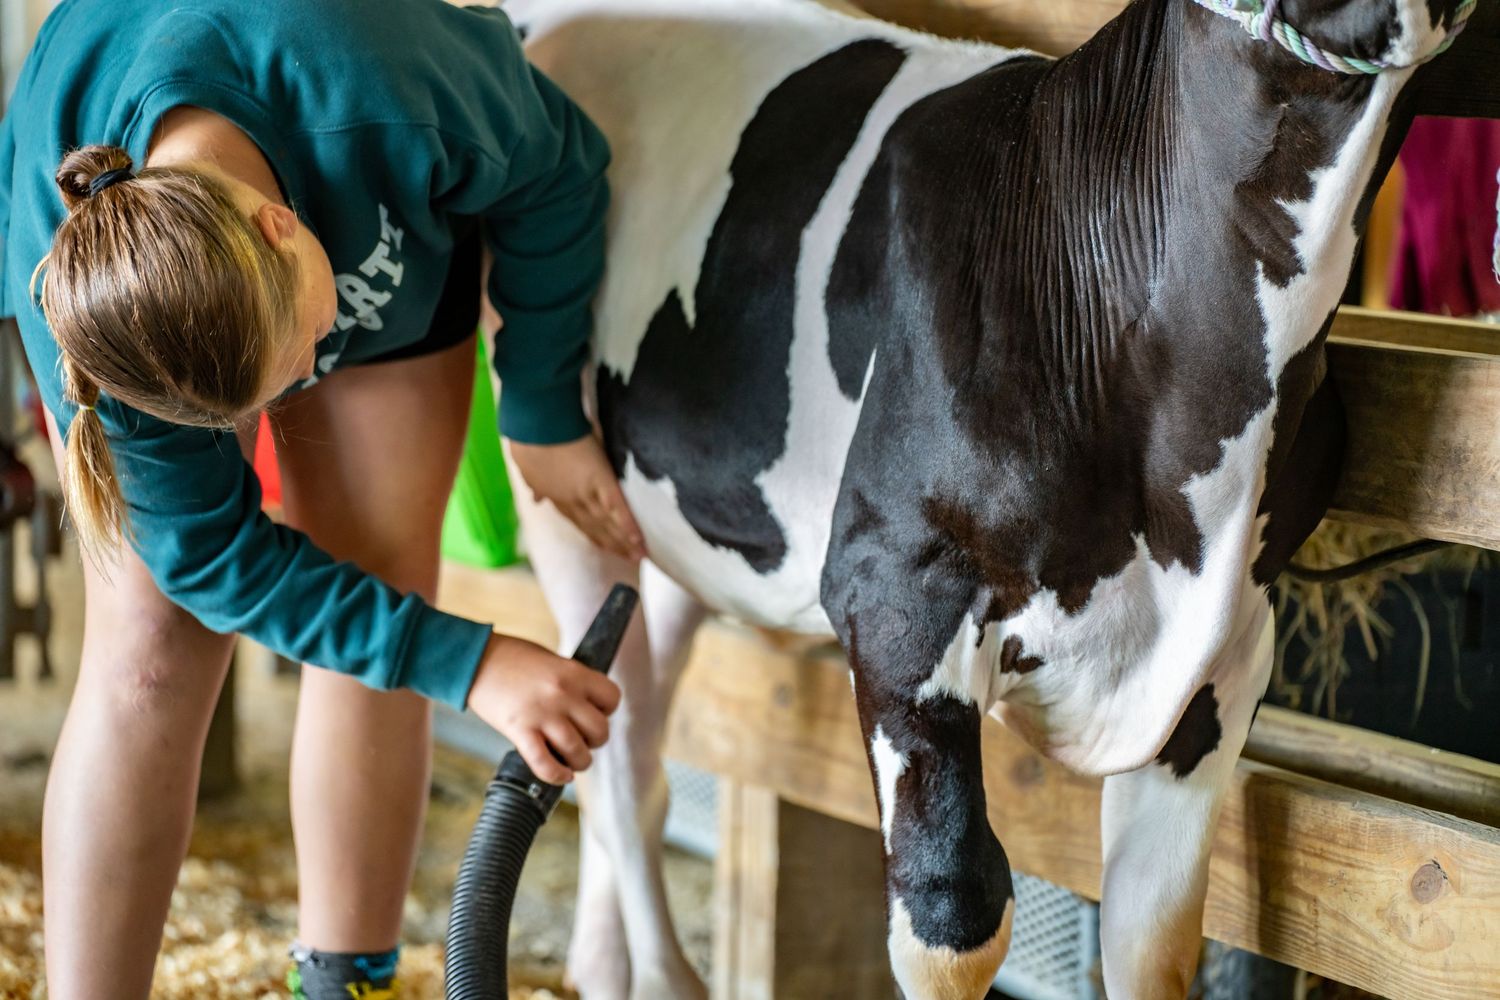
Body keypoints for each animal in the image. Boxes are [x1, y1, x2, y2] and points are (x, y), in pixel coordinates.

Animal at [501, 0, 1469, 996]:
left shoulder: (1228, 647)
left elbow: (1155, 931)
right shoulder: (894, 593)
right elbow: (951, 913)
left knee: (639, 725)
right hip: (563, 498)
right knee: (614, 752)